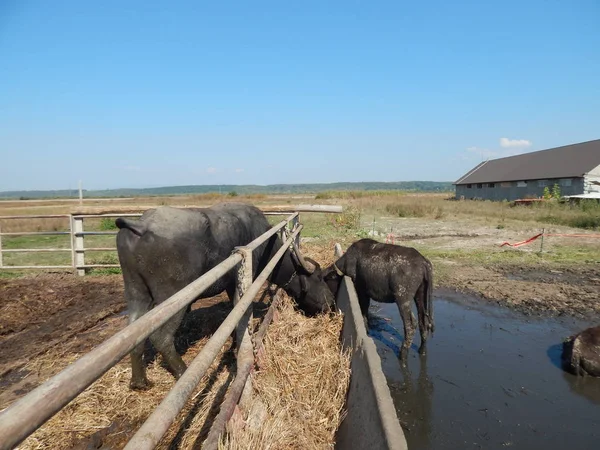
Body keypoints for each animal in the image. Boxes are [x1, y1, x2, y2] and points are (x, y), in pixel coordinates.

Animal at [115, 202, 336, 388]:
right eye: (319, 277)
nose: (331, 302)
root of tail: (140, 225)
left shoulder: (231, 285)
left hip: (136, 292)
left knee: (134, 333)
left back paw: (140, 381)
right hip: (172, 297)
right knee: (161, 337)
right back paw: (183, 373)